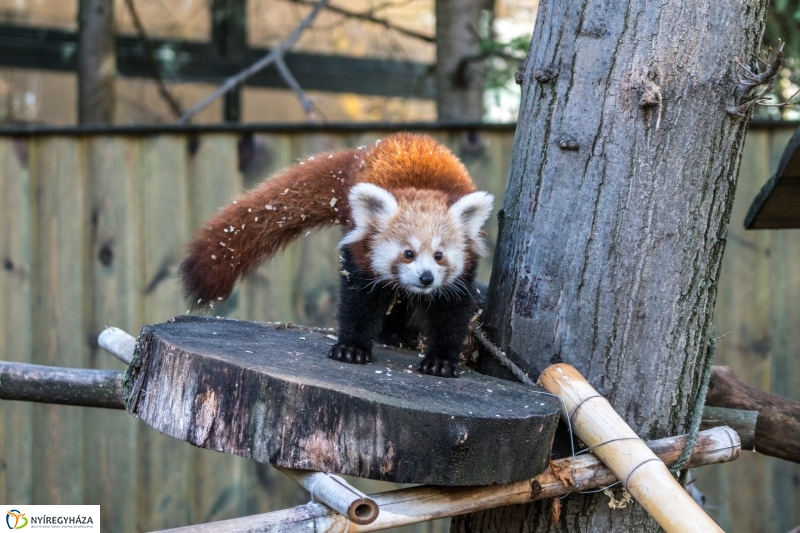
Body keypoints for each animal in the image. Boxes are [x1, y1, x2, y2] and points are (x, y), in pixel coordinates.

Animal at [181, 131, 494, 376]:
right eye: (408, 253)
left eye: (439, 255)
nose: (426, 278)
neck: (423, 188)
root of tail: (370, 148)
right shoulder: (361, 256)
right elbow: (359, 301)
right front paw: (351, 348)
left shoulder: (462, 274)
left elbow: (451, 314)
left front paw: (441, 361)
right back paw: (393, 333)